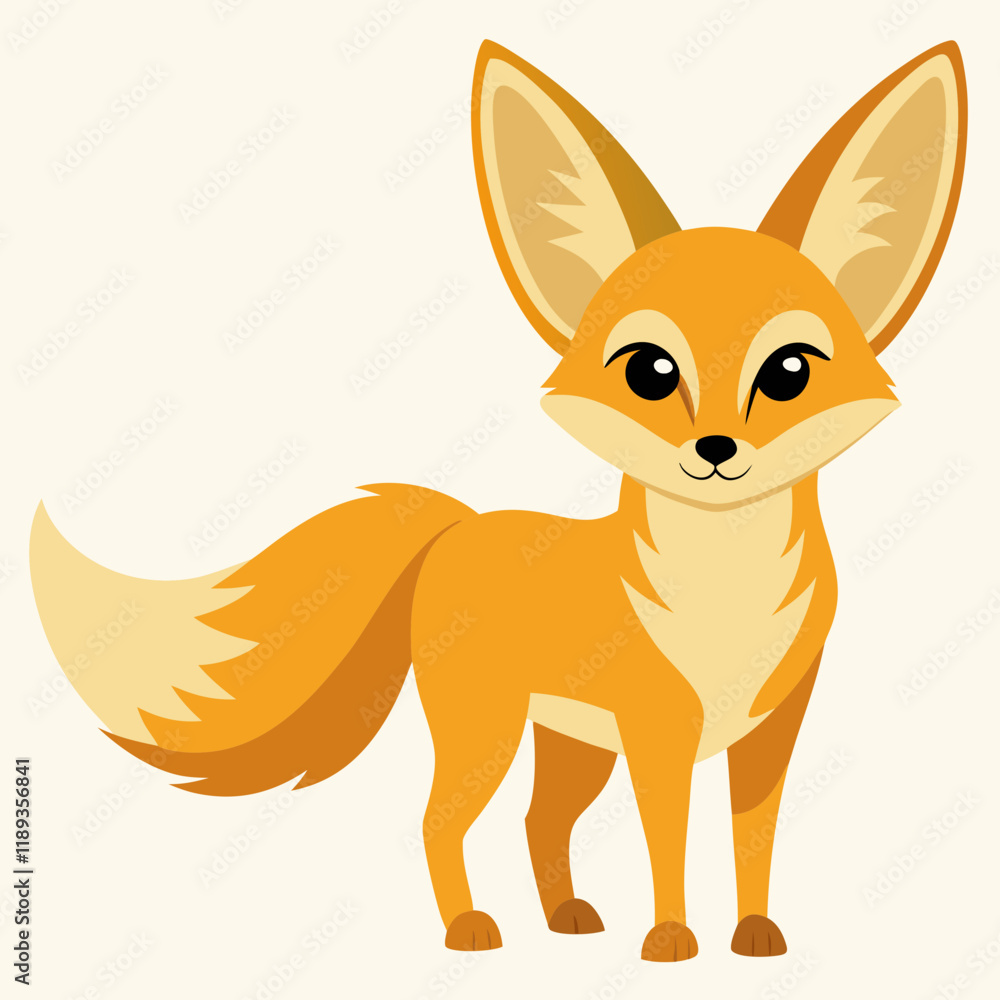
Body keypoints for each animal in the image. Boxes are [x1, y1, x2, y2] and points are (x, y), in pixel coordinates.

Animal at [30, 40, 966, 961]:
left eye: (789, 372)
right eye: (649, 372)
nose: (714, 451)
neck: (725, 597)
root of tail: (463, 526)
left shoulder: (772, 729)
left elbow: (754, 841)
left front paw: (756, 936)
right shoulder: (657, 734)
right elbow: (668, 843)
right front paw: (670, 938)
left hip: (570, 747)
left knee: (536, 821)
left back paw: (565, 918)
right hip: (490, 733)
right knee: (439, 821)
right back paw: (469, 931)